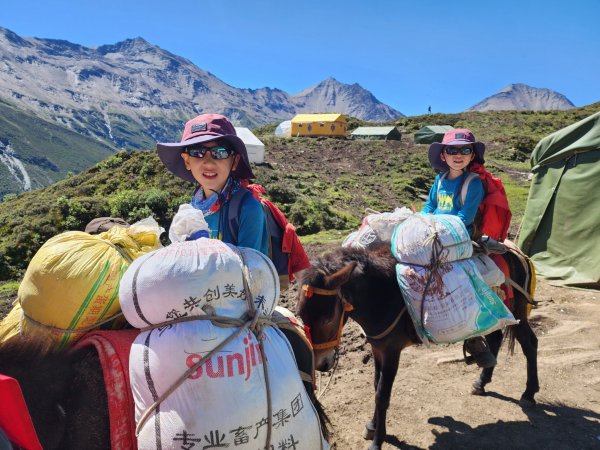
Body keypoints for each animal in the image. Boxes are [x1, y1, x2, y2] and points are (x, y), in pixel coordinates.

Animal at [298, 244, 536, 450]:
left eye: (328, 319)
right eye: (300, 315)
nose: (321, 364)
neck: (382, 295)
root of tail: (517, 253)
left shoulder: (391, 352)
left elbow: (382, 395)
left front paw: (377, 441)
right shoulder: (377, 349)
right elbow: (376, 386)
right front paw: (372, 425)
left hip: (518, 311)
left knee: (529, 343)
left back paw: (529, 393)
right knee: (495, 339)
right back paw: (481, 381)